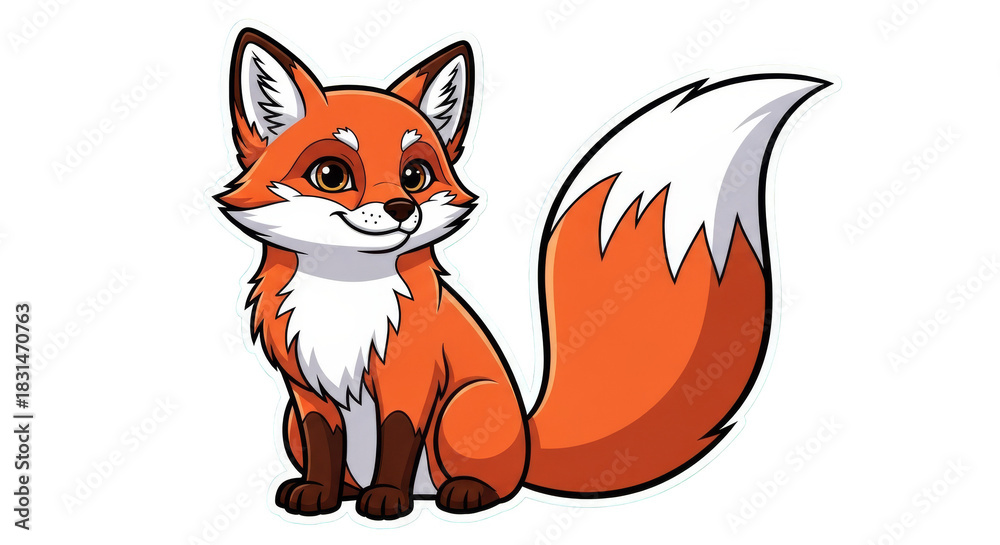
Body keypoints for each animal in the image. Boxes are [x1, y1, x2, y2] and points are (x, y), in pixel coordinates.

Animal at [216, 28, 830, 520]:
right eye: (331, 175)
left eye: (415, 176)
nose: (401, 209)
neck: (345, 299)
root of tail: (530, 441)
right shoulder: (306, 392)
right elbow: (325, 446)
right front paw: (318, 496)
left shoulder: (410, 380)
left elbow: (396, 441)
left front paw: (385, 502)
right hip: (290, 424)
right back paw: (345, 491)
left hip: (464, 409)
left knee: (495, 485)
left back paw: (460, 494)